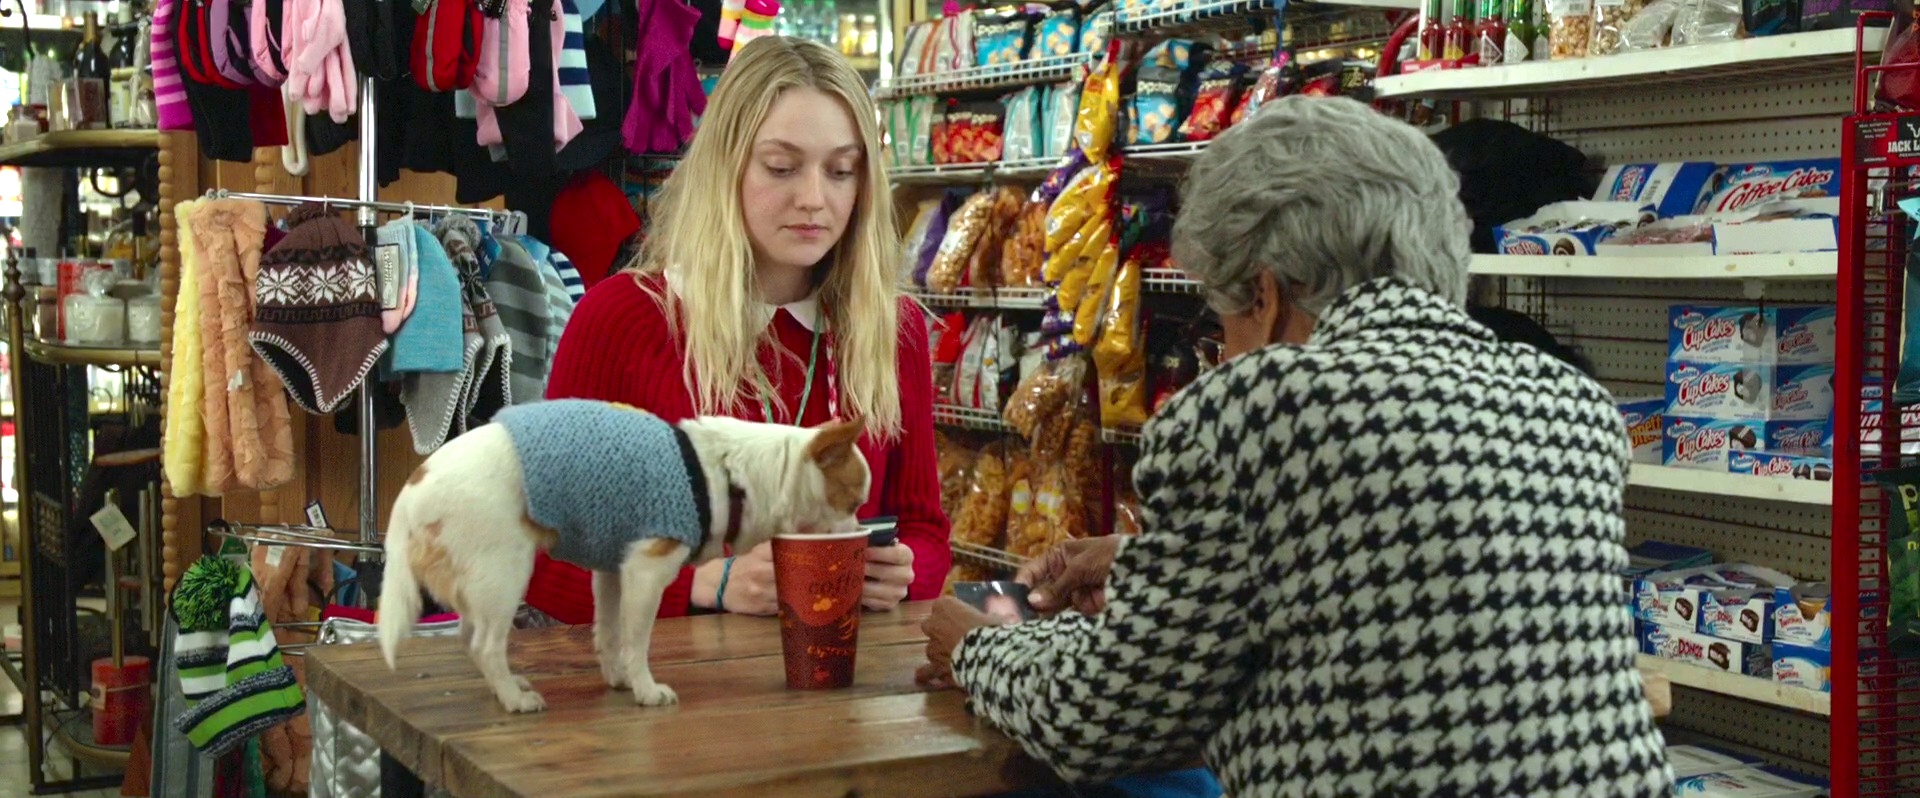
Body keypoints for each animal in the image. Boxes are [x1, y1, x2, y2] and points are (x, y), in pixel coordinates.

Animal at [376, 399, 871, 709]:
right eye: (853, 501)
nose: (864, 533)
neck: (729, 473)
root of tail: (411, 487)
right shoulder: (646, 570)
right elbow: (637, 640)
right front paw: (645, 689)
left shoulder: (613, 570)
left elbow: (609, 632)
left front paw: (617, 677)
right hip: (506, 571)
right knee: (484, 644)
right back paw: (515, 700)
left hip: (482, 580)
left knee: (470, 639)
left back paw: (507, 688)